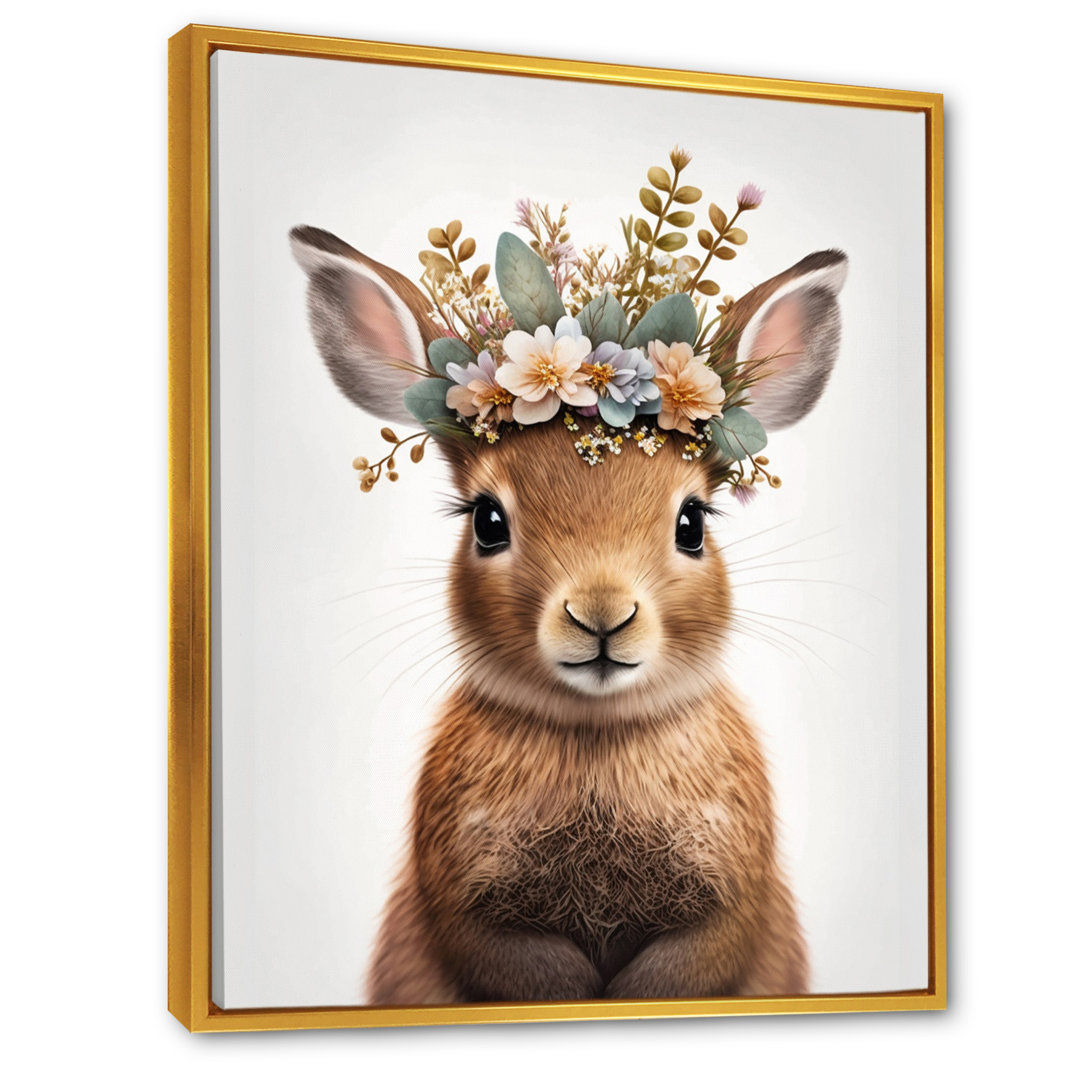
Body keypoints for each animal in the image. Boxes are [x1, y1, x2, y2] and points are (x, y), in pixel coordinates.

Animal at [291, 222, 847, 1004]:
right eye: (488, 522)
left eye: (692, 524)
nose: (601, 614)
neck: (596, 730)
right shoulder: (473, 912)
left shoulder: (725, 909)